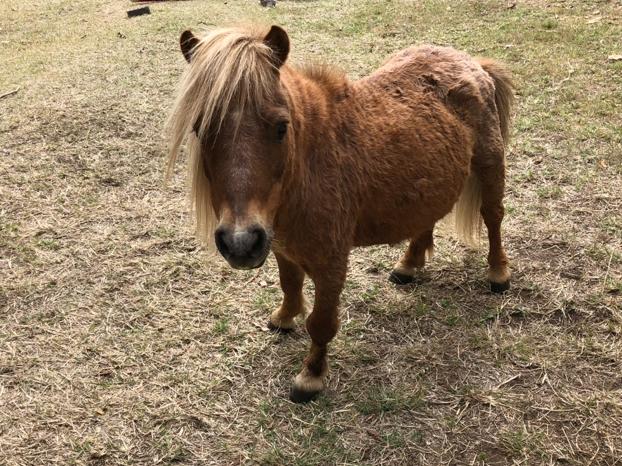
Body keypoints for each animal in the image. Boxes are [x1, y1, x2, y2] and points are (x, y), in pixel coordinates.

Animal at [167, 25, 516, 402]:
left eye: (281, 127)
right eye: (200, 129)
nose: (240, 242)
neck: (312, 162)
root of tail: (471, 62)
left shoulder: (331, 261)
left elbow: (321, 322)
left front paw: (311, 376)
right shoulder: (281, 247)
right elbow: (289, 285)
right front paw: (285, 318)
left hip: (490, 164)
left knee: (493, 217)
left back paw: (498, 274)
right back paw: (408, 265)